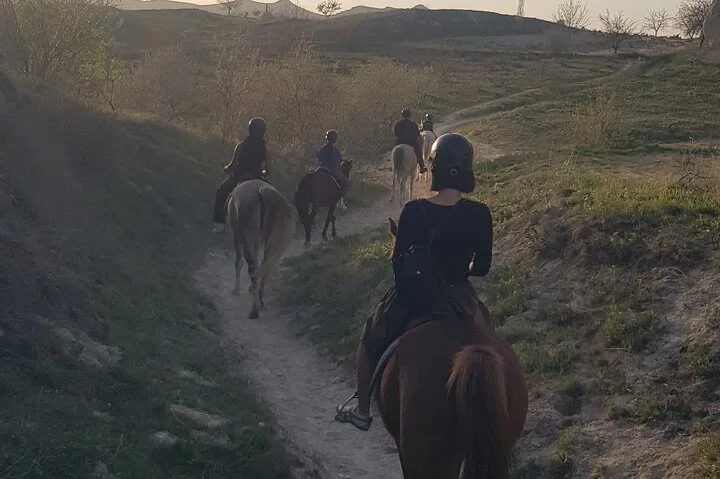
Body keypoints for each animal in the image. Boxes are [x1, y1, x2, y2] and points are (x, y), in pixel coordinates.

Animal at [227, 179, 296, 319]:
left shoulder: (237, 237)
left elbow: (238, 262)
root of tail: (263, 192)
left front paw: (237, 289)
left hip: (248, 238)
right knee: (265, 266)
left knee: (253, 267)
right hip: (271, 243)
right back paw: (261, 300)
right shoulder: (259, 241)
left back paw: (254, 309)